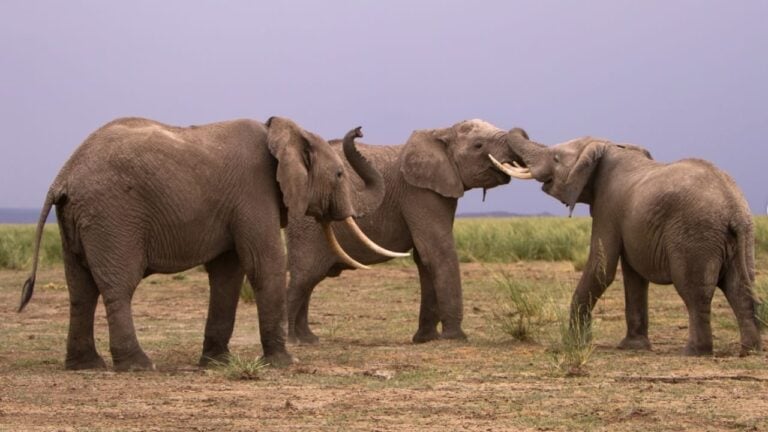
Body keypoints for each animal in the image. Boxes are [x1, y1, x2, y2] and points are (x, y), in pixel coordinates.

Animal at [18, 116, 402, 371]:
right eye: (339, 175)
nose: (360, 129)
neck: (282, 133)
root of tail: (63, 177)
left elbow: (228, 275)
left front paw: (217, 363)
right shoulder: (253, 193)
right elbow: (264, 265)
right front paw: (284, 363)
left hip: (77, 220)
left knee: (80, 290)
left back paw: (86, 365)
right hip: (112, 216)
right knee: (118, 287)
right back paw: (139, 365)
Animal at [280, 119, 524, 344]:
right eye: (479, 145)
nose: (359, 130)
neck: (442, 132)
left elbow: (424, 259)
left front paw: (425, 339)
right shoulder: (419, 192)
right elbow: (437, 253)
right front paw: (455, 338)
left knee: (309, 280)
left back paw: (308, 339)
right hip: (307, 226)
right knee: (304, 276)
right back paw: (293, 341)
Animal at [497, 131, 761, 356]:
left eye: (556, 158)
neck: (606, 146)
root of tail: (734, 209)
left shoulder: (608, 206)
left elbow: (601, 268)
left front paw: (573, 344)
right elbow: (634, 276)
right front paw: (632, 347)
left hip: (695, 235)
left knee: (694, 291)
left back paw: (694, 352)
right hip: (741, 238)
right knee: (739, 287)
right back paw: (750, 350)